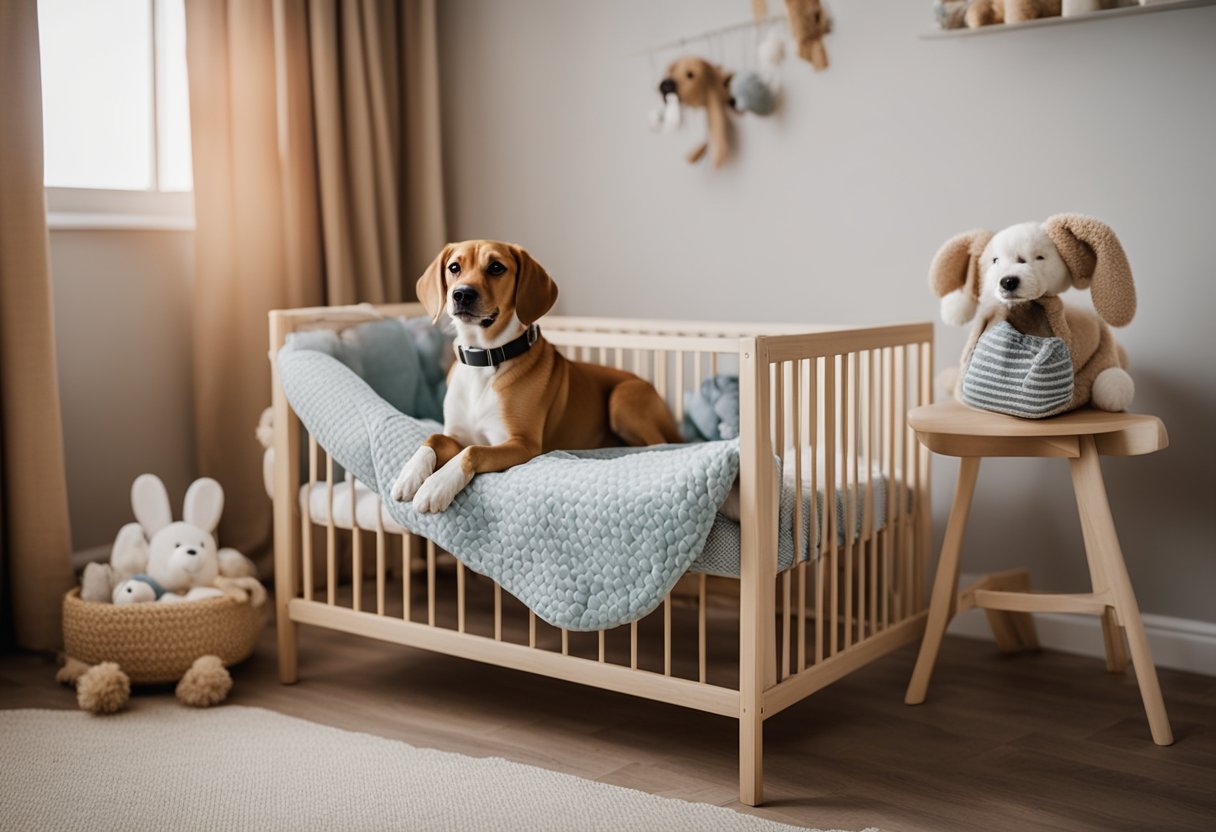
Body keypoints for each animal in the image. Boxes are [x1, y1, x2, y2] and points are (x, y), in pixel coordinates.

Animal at [396, 240, 685, 510]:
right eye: (454, 267)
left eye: (496, 267)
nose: (462, 294)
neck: (485, 361)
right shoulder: (457, 433)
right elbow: (434, 437)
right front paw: (409, 474)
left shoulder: (522, 444)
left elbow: (472, 452)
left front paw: (436, 485)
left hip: (623, 396)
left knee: (660, 445)